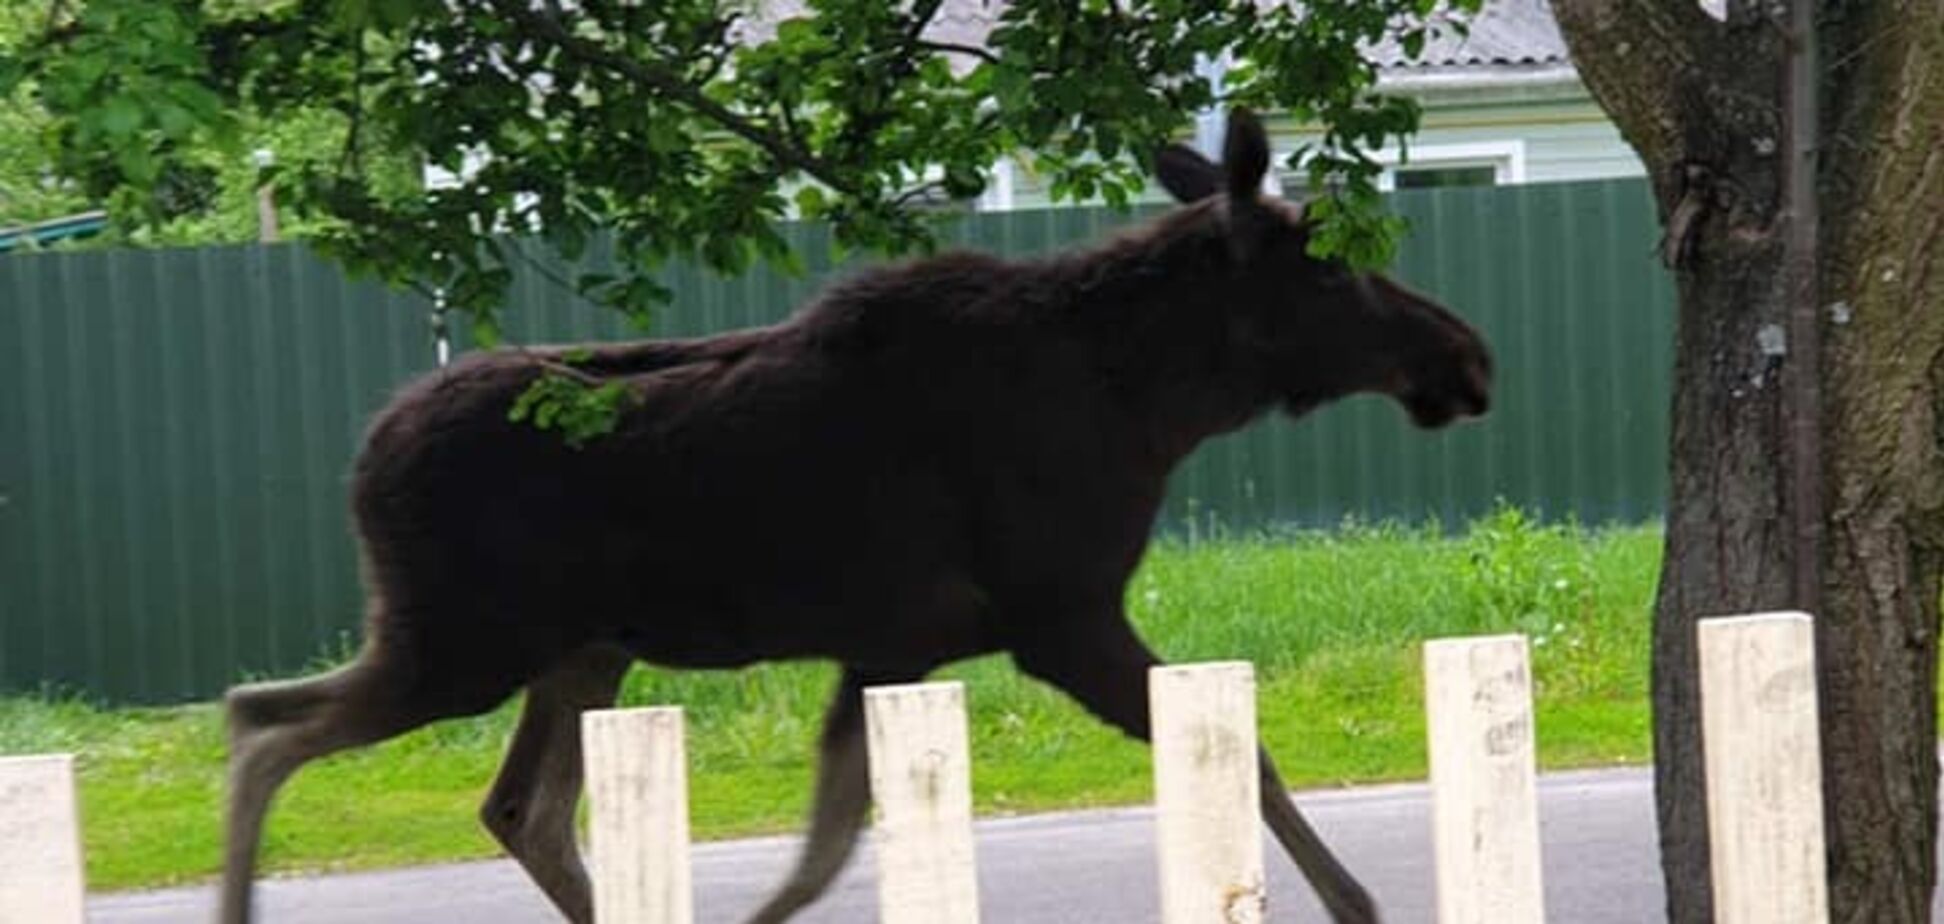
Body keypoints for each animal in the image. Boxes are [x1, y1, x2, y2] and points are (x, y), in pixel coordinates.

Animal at [216, 110, 1485, 924]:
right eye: (1329, 269)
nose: (1465, 356)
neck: (1156, 404)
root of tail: (363, 459)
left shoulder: (892, 647)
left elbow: (818, 854)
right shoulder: (1059, 616)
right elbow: (1256, 760)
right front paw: (1363, 907)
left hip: (570, 653)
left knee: (506, 800)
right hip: (464, 645)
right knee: (265, 728)